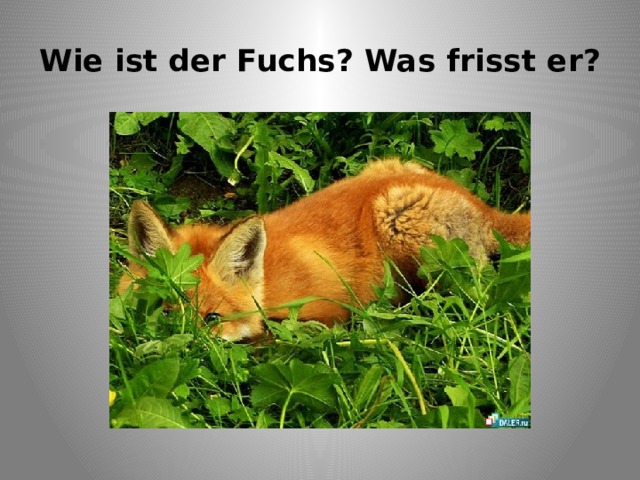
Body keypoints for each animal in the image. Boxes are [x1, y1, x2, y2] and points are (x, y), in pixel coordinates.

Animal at [118, 158, 530, 341]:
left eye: (212, 318)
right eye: (165, 313)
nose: (181, 348)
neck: (267, 287)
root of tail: (481, 206)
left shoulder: (324, 315)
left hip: (399, 222)